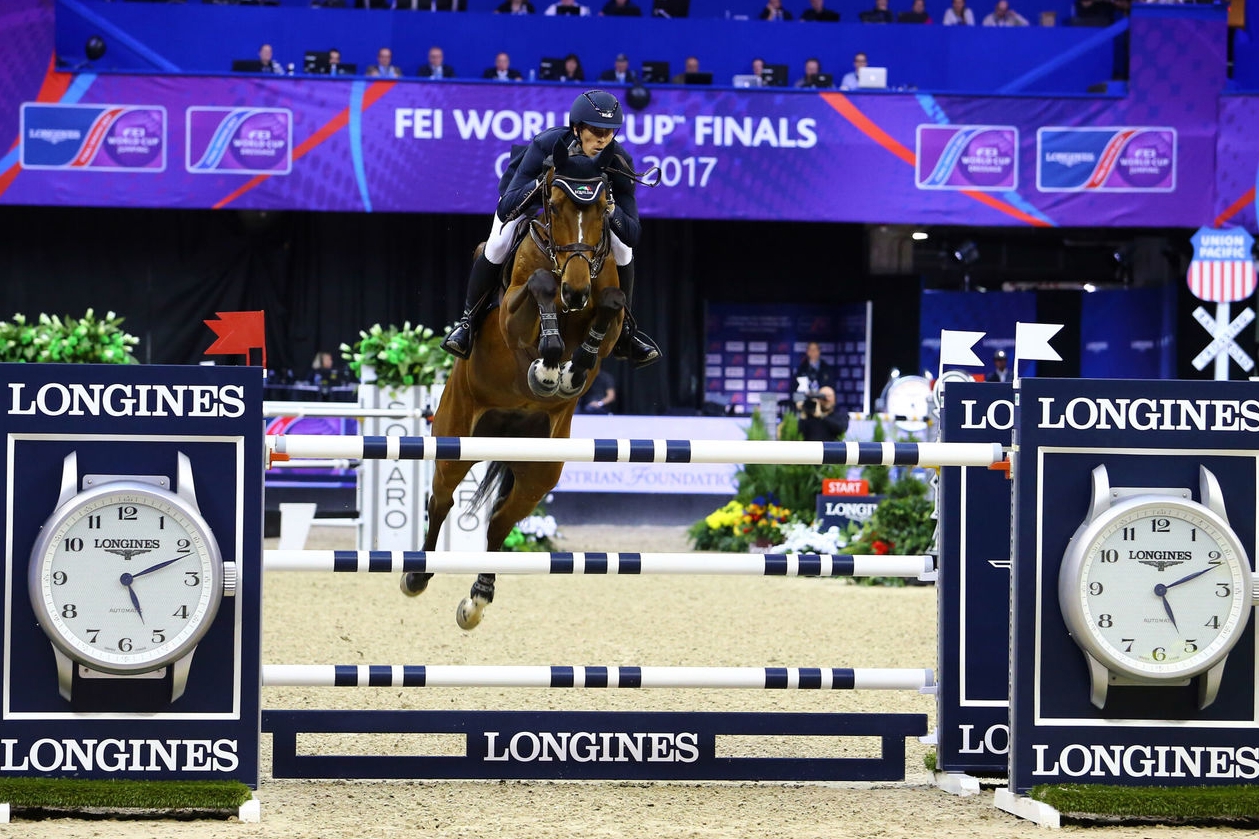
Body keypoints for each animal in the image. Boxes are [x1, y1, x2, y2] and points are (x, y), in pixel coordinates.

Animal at [400, 142, 621, 627]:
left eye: (603, 209)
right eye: (553, 206)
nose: (576, 292)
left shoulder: (609, 310)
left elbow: (612, 305)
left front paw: (571, 370)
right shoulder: (512, 316)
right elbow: (538, 287)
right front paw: (548, 364)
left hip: (540, 469)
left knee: (501, 521)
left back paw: (478, 597)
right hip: (455, 439)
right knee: (440, 501)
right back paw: (417, 576)